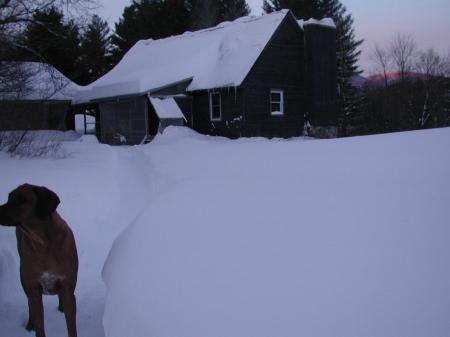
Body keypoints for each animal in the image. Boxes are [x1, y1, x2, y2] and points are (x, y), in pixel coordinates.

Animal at [0, 184, 78, 336]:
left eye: (22, 200)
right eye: (9, 197)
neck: (43, 243)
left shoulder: (68, 288)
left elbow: (71, 328)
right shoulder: (34, 289)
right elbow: (39, 325)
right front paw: (34, 324)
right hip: (23, 278)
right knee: (29, 303)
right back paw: (30, 323)